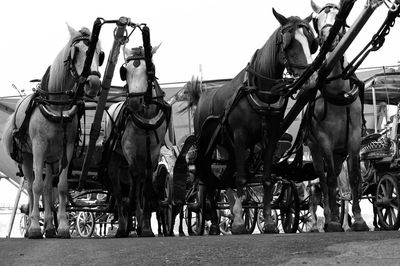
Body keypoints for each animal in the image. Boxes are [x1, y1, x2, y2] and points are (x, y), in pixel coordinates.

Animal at [2, 23, 102, 238]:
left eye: (100, 53)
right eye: (76, 51)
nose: (94, 84)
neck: (58, 105)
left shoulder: (68, 148)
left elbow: (62, 187)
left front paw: (62, 226)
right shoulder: (39, 147)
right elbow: (36, 187)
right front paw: (33, 227)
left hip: (51, 158)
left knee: (49, 188)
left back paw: (49, 225)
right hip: (27, 156)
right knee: (32, 185)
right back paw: (33, 226)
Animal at [185, 8, 318, 233]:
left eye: (310, 42)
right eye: (289, 42)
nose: (310, 79)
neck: (260, 93)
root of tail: (201, 96)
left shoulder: (270, 138)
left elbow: (266, 179)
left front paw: (269, 221)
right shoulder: (240, 139)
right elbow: (241, 179)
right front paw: (238, 221)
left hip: (226, 148)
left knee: (222, 180)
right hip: (208, 148)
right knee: (208, 183)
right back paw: (213, 222)